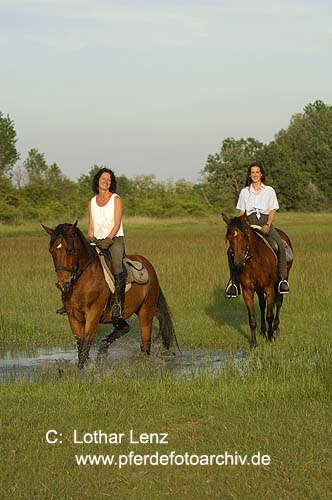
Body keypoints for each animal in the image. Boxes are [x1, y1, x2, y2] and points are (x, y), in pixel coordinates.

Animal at [42, 222, 175, 368]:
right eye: (51, 251)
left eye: (69, 250)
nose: (62, 285)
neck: (83, 278)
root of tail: (149, 267)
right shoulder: (73, 317)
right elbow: (80, 344)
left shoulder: (93, 314)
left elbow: (85, 344)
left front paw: (82, 369)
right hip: (116, 316)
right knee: (124, 328)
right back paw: (102, 352)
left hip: (146, 311)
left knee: (145, 344)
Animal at [223, 214, 294, 348]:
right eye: (228, 237)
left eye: (244, 235)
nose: (238, 263)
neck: (255, 261)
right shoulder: (248, 291)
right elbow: (252, 318)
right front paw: (254, 343)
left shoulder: (269, 288)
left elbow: (269, 315)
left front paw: (270, 338)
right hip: (259, 289)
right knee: (262, 304)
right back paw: (263, 330)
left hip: (281, 280)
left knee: (278, 302)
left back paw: (276, 329)